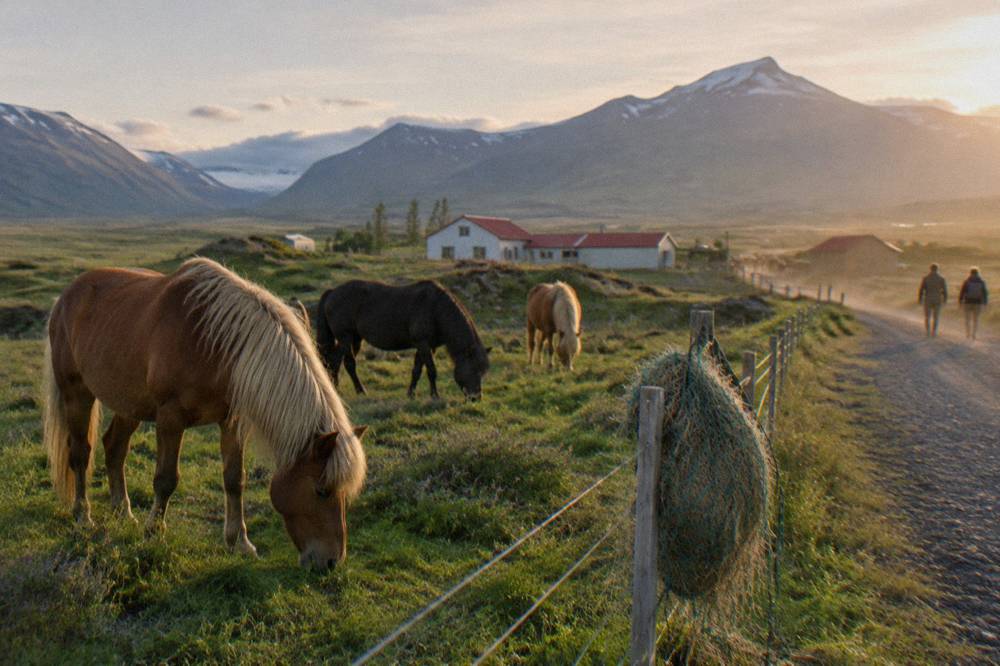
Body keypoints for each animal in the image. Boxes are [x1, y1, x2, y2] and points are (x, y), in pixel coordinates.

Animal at [42, 258, 367, 570]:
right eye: (322, 491)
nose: (331, 562)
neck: (216, 345)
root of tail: (66, 296)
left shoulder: (231, 421)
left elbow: (235, 480)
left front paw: (240, 542)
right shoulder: (170, 418)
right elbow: (166, 479)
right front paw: (153, 533)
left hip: (130, 403)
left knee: (114, 447)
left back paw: (124, 512)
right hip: (77, 393)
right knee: (80, 454)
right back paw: (83, 515)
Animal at [316, 280, 490, 400]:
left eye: (483, 371)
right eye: (473, 368)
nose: (475, 398)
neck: (437, 309)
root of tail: (332, 292)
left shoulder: (426, 346)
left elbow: (417, 370)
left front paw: (411, 394)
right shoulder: (423, 344)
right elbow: (431, 370)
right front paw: (435, 395)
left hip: (354, 339)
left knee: (337, 361)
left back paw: (339, 389)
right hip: (345, 337)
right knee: (345, 363)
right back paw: (355, 390)